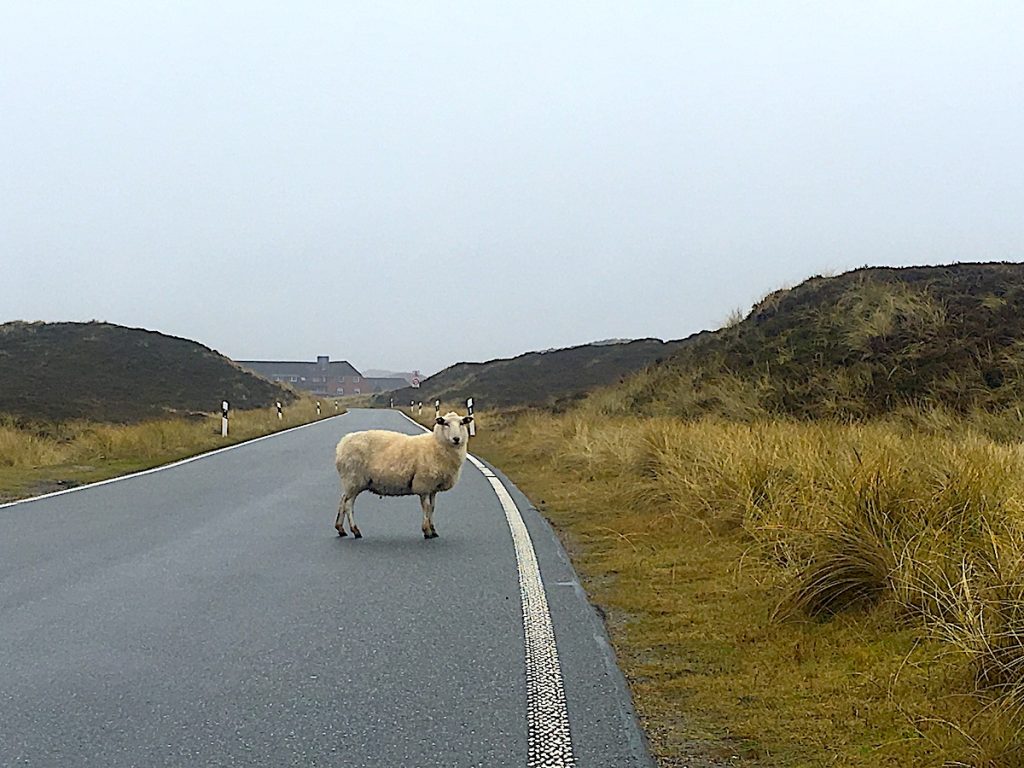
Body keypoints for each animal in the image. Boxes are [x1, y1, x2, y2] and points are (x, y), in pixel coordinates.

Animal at [333, 415, 473, 540]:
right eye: (446, 423)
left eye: (462, 423)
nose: (456, 439)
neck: (436, 444)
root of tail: (342, 444)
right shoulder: (423, 484)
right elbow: (426, 507)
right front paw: (427, 531)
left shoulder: (433, 487)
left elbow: (432, 507)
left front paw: (433, 530)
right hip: (354, 479)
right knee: (348, 504)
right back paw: (355, 530)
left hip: (350, 482)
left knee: (342, 500)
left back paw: (340, 528)